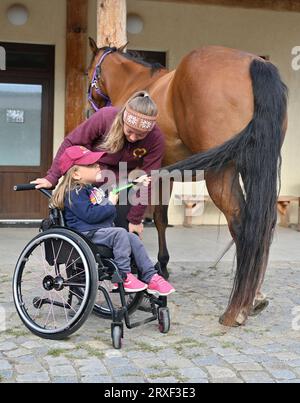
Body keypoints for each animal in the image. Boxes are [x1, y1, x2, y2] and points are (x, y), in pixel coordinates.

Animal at [87, 38, 288, 328]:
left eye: (88, 71)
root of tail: (255, 63)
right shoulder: (164, 174)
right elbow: (161, 218)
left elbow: (155, 217)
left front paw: (158, 265)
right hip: (255, 167)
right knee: (263, 223)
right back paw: (256, 296)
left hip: (222, 173)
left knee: (241, 223)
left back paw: (236, 309)